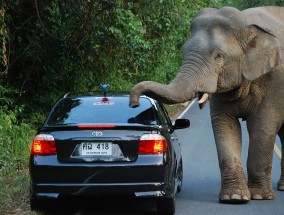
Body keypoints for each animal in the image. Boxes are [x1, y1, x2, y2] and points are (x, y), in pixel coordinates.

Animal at [129, 5, 284, 202]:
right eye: (183, 51)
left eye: (219, 56)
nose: (133, 103)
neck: (245, 25)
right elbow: (224, 125)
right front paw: (233, 198)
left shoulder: (276, 80)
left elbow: (262, 126)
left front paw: (258, 196)